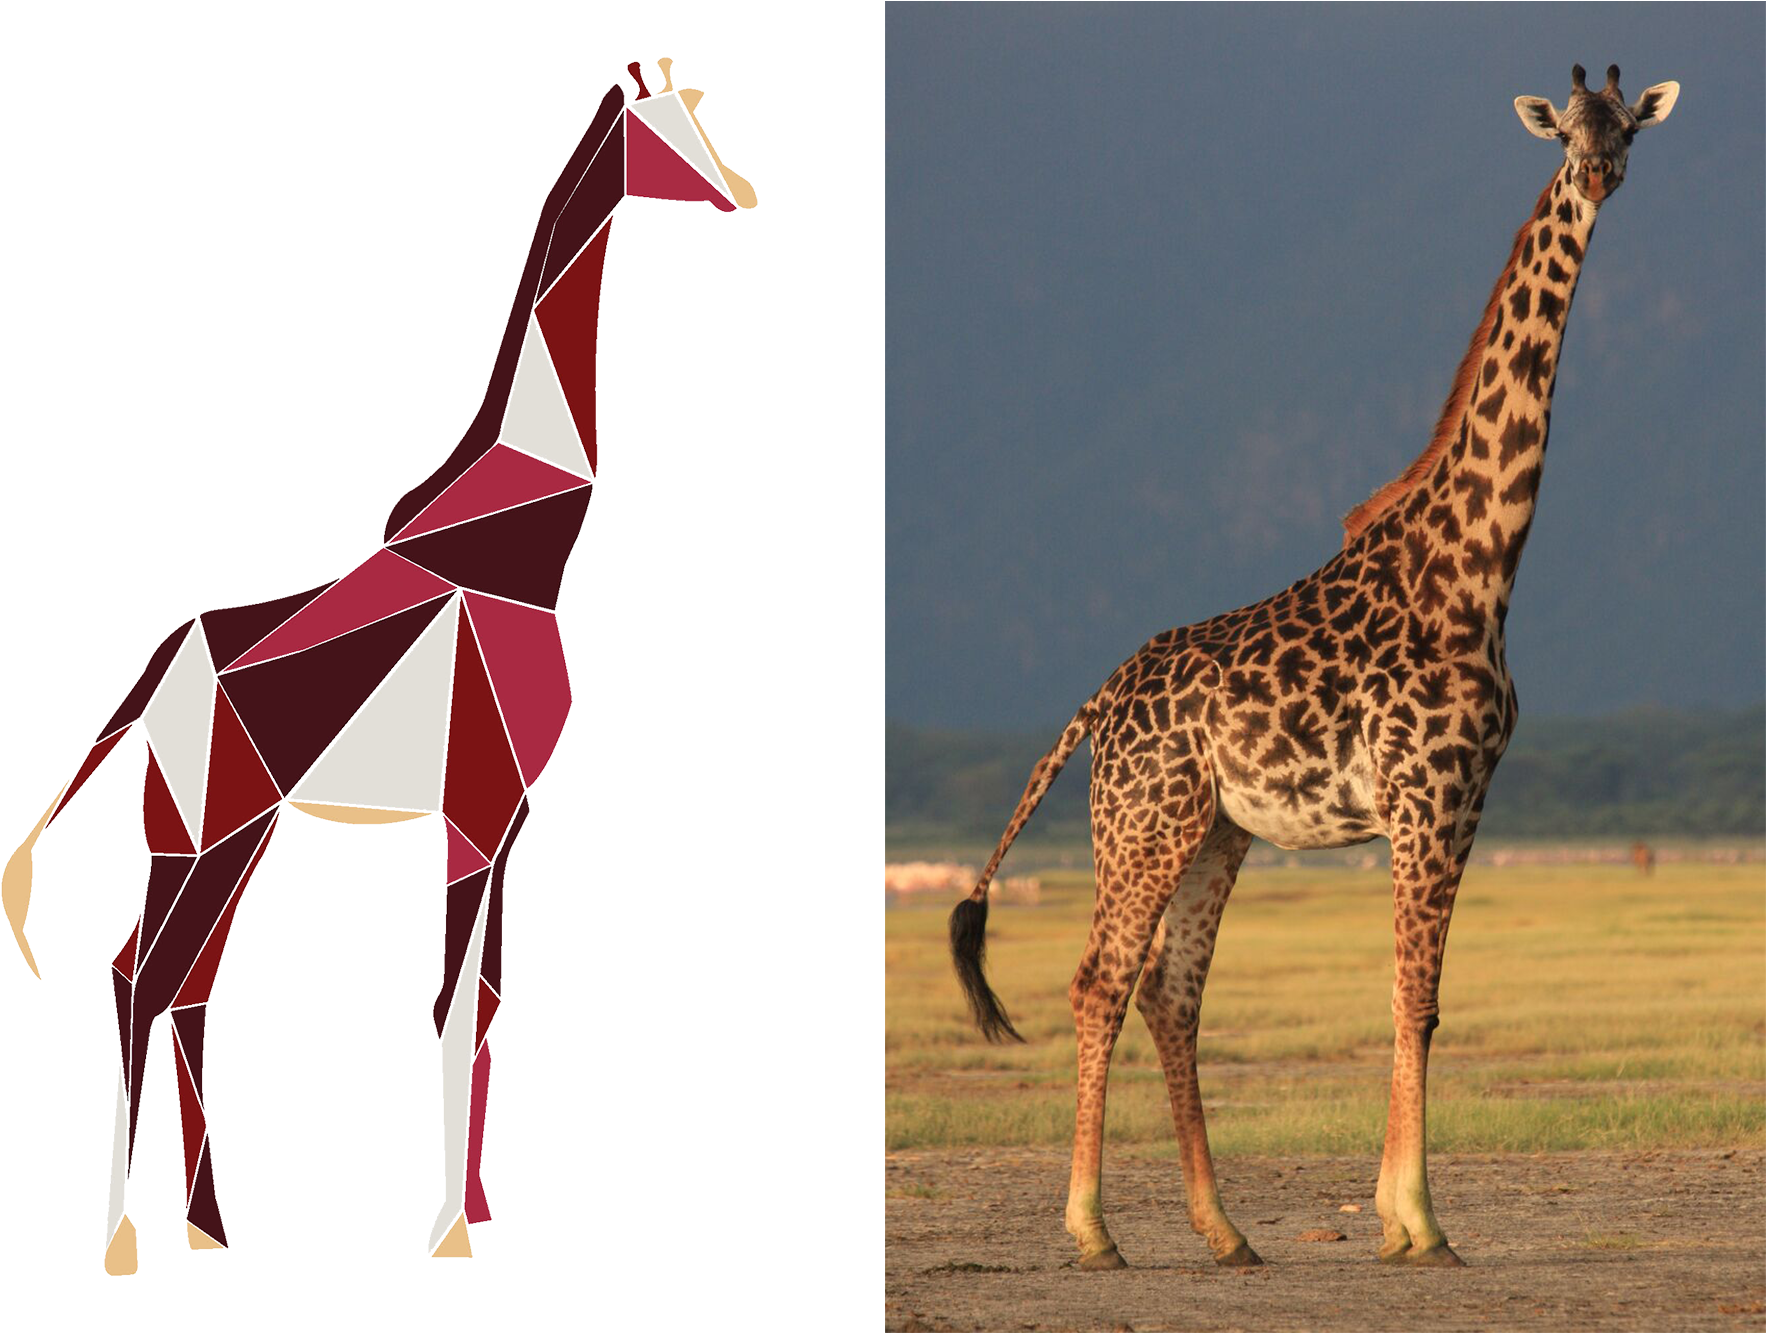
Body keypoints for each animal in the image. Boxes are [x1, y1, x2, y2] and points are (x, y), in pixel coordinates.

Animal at [1, 56, 755, 1274]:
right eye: (675, 122)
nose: (741, 191)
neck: (519, 541)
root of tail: (153, 676)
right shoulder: (480, 798)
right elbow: (447, 1003)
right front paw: (445, 1231)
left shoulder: (516, 811)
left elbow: (488, 999)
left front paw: (478, 1210)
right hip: (216, 822)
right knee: (139, 978)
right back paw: (120, 1239)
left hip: (205, 828)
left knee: (181, 985)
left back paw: (209, 1227)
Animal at [949, 65, 1678, 1270]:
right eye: (1564, 127)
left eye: (1626, 127)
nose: (1596, 172)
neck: (1479, 565)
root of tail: (1096, 702)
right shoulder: (1427, 796)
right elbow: (1415, 997)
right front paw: (1420, 1223)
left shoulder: (1464, 802)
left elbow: (1410, 997)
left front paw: (1393, 1216)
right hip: (1143, 822)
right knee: (1100, 980)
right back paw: (1092, 1230)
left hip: (1215, 829)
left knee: (1170, 993)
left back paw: (1224, 1230)